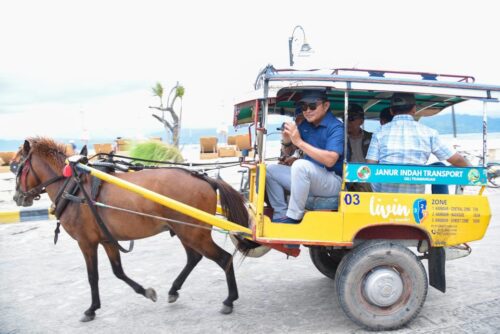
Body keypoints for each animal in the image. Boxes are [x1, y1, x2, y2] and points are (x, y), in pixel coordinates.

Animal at [13, 137, 256, 322]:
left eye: (17, 165)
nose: (17, 198)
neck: (74, 187)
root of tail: (206, 179)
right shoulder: (107, 240)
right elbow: (118, 271)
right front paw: (146, 292)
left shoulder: (86, 242)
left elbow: (93, 276)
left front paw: (91, 309)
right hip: (186, 232)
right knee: (194, 257)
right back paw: (174, 290)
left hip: (193, 233)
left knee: (224, 259)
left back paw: (229, 300)